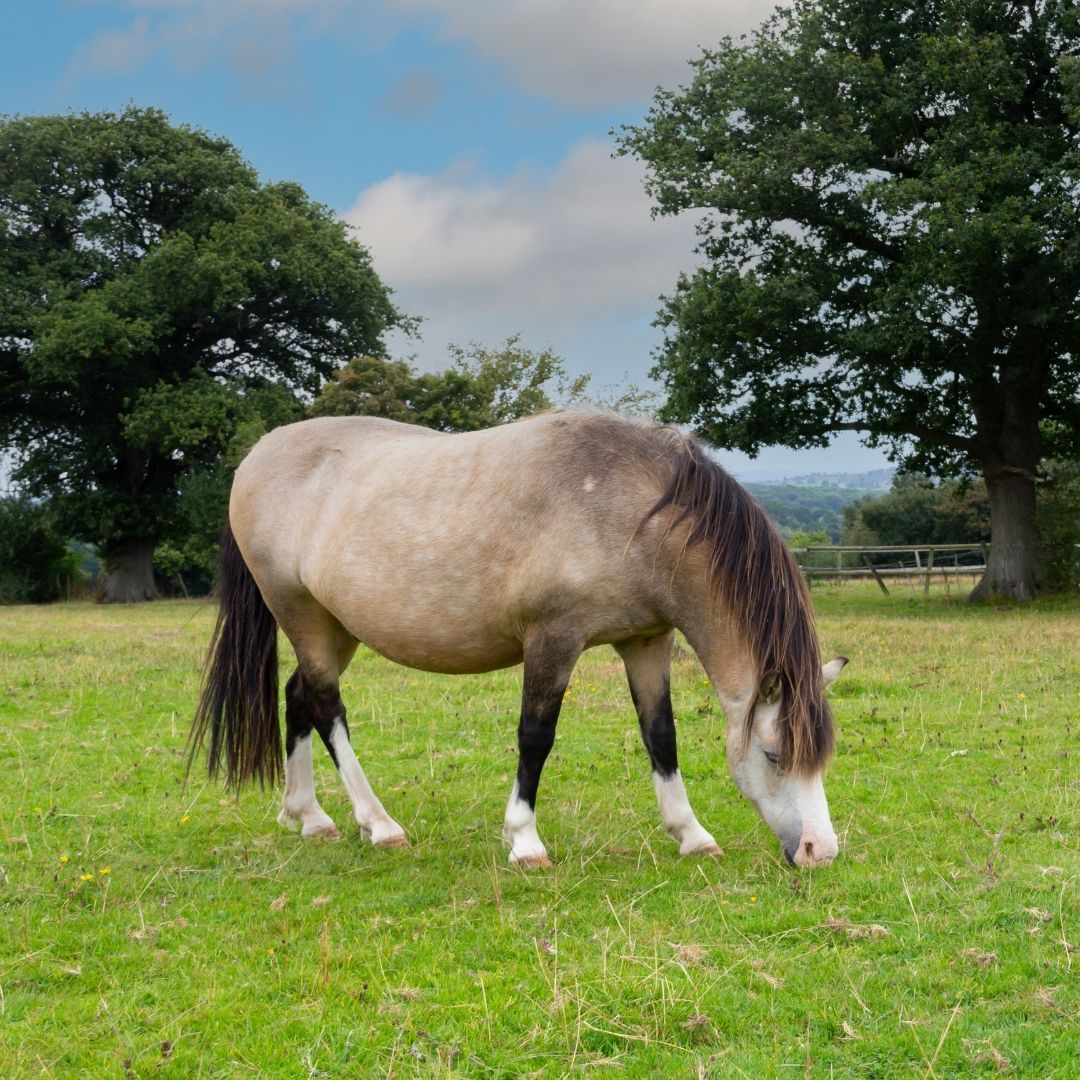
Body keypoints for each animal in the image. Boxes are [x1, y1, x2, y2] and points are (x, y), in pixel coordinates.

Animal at [191, 410, 846, 869]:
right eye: (772, 754)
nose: (820, 851)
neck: (632, 511)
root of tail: (257, 457)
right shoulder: (552, 640)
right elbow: (536, 738)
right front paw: (524, 840)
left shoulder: (646, 641)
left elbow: (661, 736)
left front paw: (692, 835)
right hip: (300, 614)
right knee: (328, 708)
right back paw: (379, 825)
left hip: (336, 628)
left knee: (299, 696)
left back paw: (308, 816)